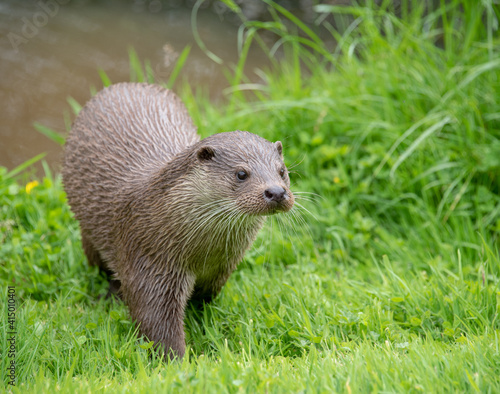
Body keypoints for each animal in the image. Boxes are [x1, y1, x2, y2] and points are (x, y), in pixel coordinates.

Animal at [62, 81, 292, 358]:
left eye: (282, 171)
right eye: (241, 173)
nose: (276, 192)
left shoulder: (220, 269)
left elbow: (203, 300)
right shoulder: (149, 260)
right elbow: (155, 321)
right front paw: (181, 361)